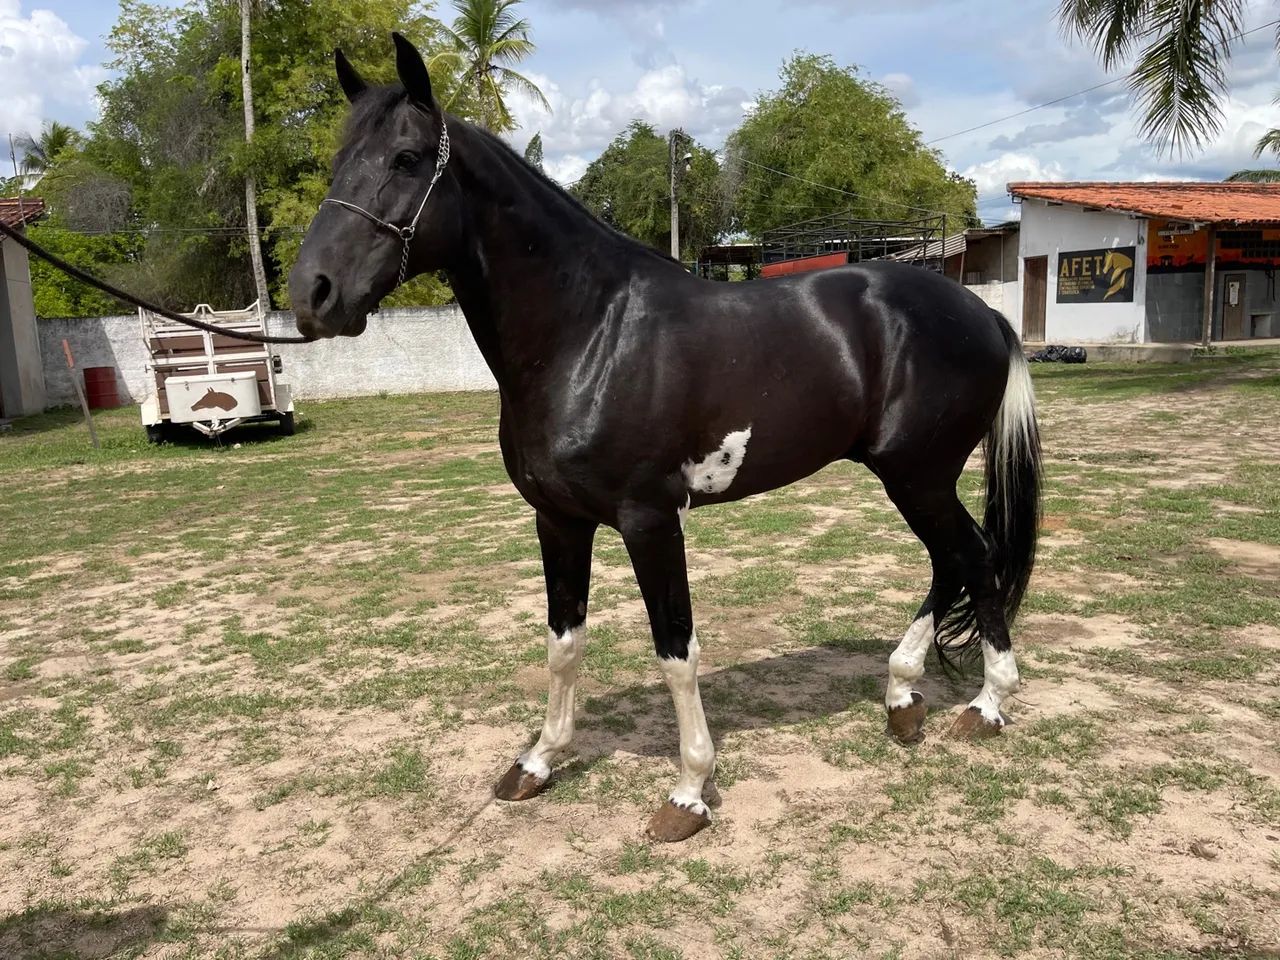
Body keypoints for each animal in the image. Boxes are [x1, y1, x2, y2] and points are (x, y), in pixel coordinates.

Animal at [288, 34, 1042, 843]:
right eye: (338, 159)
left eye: (405, 158)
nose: (312, 293)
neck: (590, 334)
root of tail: (982, 313)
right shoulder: (558, 521)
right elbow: (563, 643)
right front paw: (538, 762)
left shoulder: (649, 521)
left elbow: (676, 649)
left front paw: (688, 792)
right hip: (912, 477)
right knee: (952, 559)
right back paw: (903, 698)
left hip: (918, 474)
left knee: (974, 556)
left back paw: (987, 705)